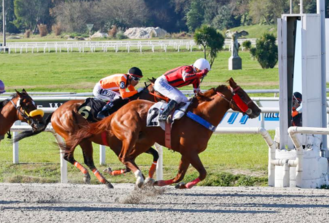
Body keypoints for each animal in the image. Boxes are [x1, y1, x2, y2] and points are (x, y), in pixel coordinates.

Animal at [13, 83, 167, 188]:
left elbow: (154, 154)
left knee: (87, 160)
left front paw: (148, 179)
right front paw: (113, 171)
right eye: (161, 91)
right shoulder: (116, 144)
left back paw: (103, 181)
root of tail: (56, 112)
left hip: (84, 140)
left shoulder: (138, 143)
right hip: (71, 135)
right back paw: (91, 176)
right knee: (68, 156)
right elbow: (128, 162)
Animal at [62, 78, 260, 188]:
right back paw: (138, 178)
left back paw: (134, 177)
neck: (201, 116)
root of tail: (115, 113)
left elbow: (181, 175)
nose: (258, 110)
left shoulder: (186, 153)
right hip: (130, 135)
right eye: (242, 95)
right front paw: (162, 183)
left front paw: (170, 184)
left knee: (129, 158)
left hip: (143, 141)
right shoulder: (190, 151)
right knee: (124, 156)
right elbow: (202, 173)